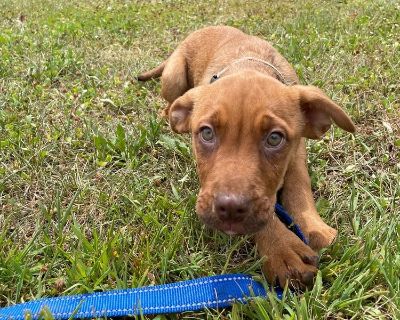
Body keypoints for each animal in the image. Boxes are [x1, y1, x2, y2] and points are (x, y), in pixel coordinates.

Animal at [138, 26, 354, 288]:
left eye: (274, 138)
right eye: (207, 133)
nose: (230, 209)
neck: (249, 64)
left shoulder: (297, 149)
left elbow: (298, 183)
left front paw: (313, 226)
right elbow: (266, 213)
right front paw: (281, 249)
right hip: (174, 77)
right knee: (169, 102)